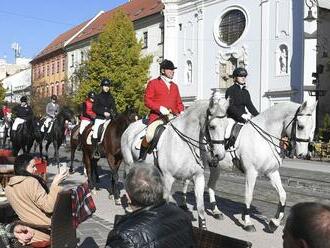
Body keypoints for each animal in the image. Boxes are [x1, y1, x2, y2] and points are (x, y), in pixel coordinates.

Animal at [121, 95, 229, 229]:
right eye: (212, 126)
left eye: (227, 125)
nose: (220, 155)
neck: (185, 143)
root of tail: (130, 126)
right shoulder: (168, 178)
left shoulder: (198, 177)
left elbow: (200, 207)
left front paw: (203, 226)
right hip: (128, 163)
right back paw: (130, 206)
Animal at [183, 101, 318, 232]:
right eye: (300, 126)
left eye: (312, 127)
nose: (302, 154)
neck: (263, 138)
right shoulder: (251, 172)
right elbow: (249, 196)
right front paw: (248, 222)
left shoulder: (272, 172)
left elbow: (283, 195)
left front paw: (274, 223)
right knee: (186, 181)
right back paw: (185, 205)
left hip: (215, 167)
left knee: (210, 185)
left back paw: (216, 212)